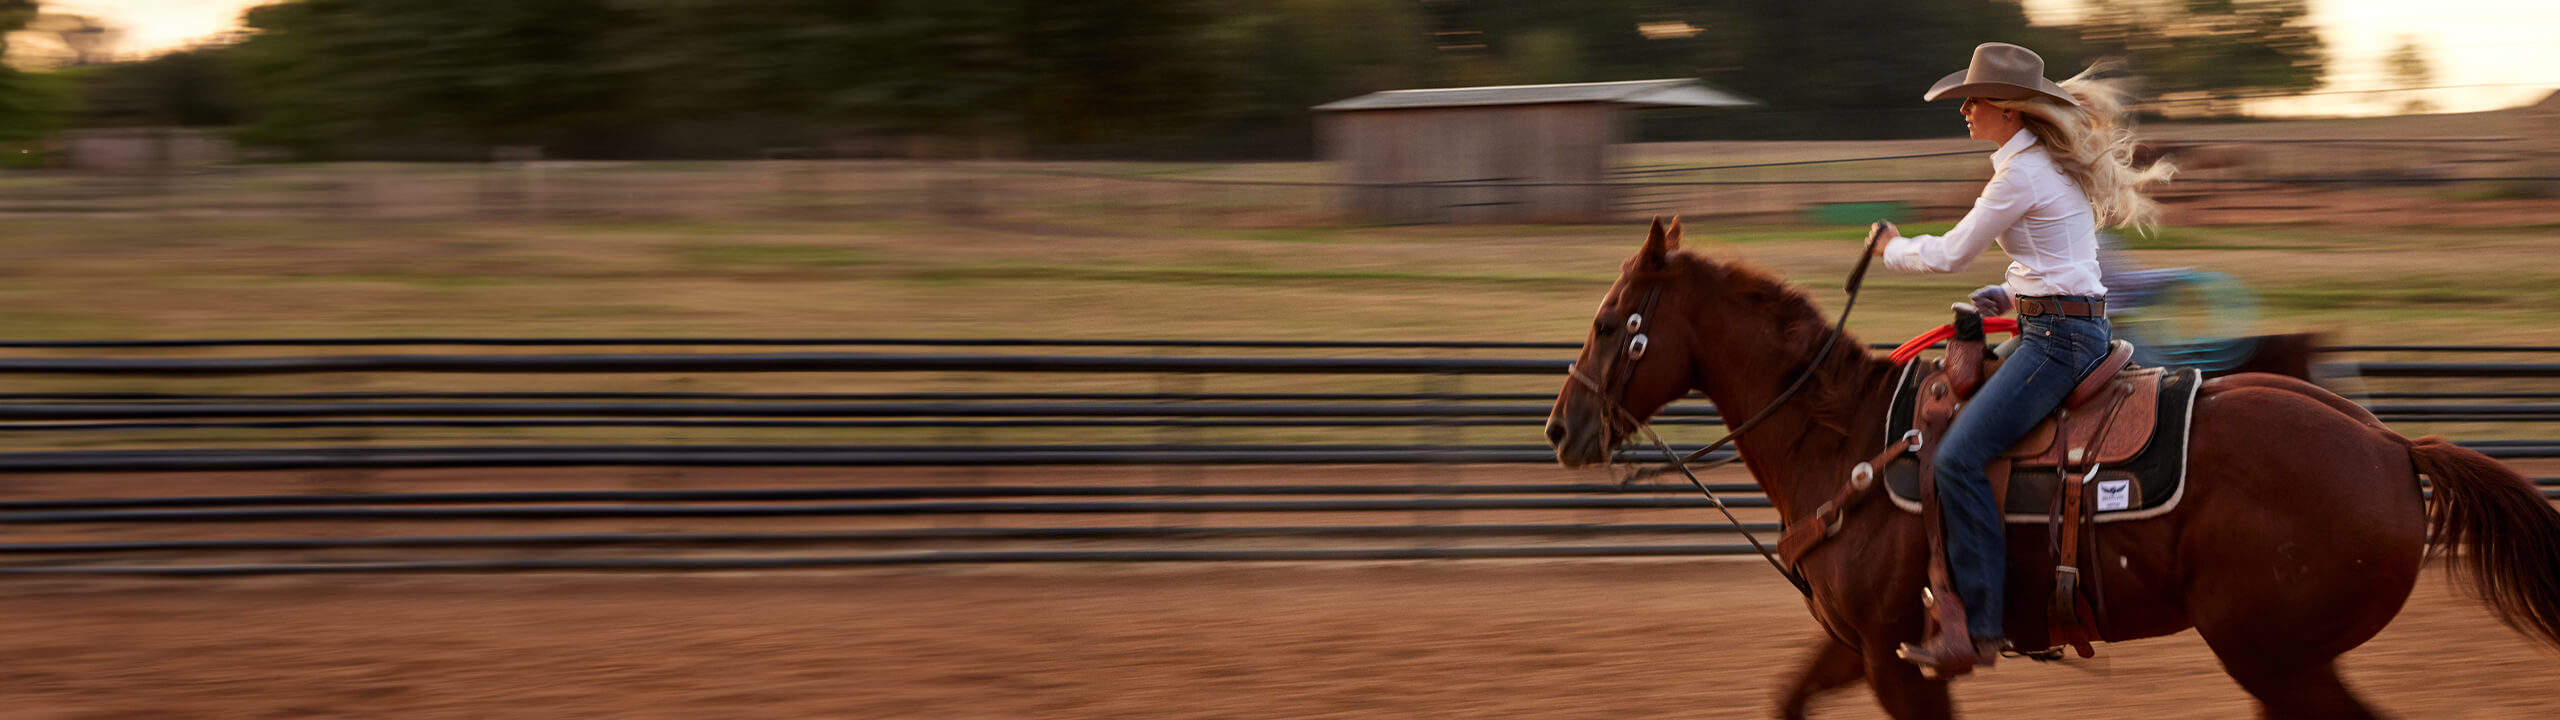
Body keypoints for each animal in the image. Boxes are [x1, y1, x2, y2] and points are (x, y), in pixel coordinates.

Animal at [1536, 213, 2560, 717]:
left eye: (1608, 324)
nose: (1558, 429)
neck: (1845, 443)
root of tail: (2392, 446)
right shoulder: (1853, 646)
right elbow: (1786, 700)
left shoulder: (1901, 662)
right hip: (2284, 660)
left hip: (2274, 655)